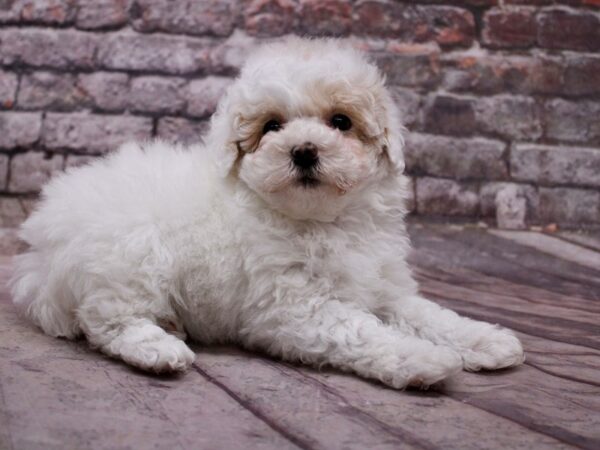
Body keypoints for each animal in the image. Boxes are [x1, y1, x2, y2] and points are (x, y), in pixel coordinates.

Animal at [10, 37, 524, 386]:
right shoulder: (292, 309)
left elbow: (427, 314)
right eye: (272, 126)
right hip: (131, 252)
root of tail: (43, 249)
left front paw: (486, 340)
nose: (303, 151)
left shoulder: (383, 287)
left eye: (341, 122)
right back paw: (157, 347)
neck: (325, 221)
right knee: (105, 318)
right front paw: (422, 359)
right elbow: (361, 331)